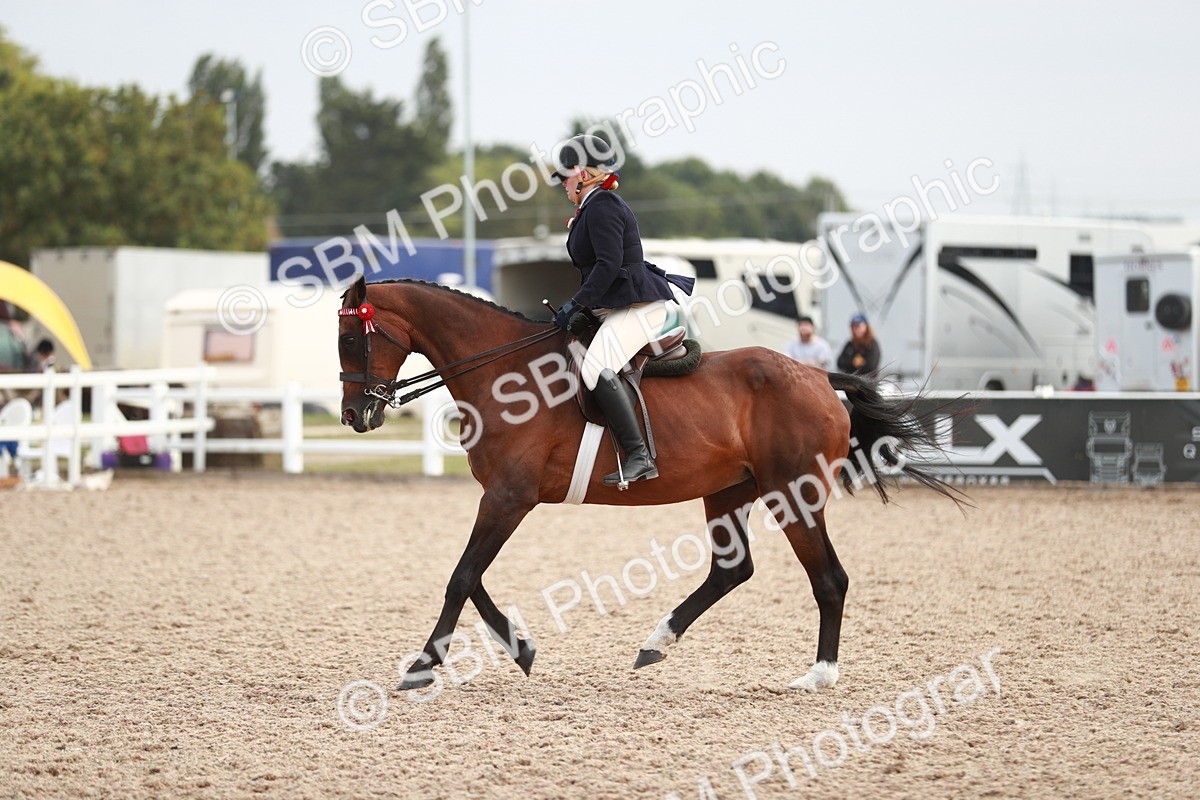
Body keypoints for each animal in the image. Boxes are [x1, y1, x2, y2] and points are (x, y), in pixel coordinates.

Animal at [337, 277, 963, 692]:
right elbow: (472, 579)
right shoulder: (506, 498)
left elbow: (461, 577)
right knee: (732, 571)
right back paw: (655, 643)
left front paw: (421, 668)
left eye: (351, 341)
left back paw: (818, 676)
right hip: (729, 491)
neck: (503, 374)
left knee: (829, 579)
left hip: (795, 494)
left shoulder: (510, 497)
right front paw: (522, 649)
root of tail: (817, 375)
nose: (354, 417)